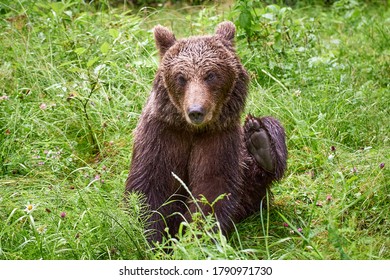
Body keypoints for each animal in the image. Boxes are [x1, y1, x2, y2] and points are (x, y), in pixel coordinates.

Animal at [125, 21, 286, 243]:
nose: (196, 111)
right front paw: (152, 237)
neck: (192, 130)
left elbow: (212, 189)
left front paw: (195, 235)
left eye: (210, 75)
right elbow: (150, 188)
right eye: (181, 77)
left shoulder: (218, 139)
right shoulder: (162, 135)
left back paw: (260, 141)